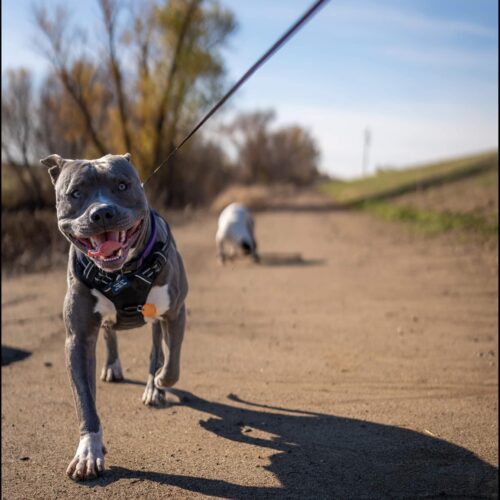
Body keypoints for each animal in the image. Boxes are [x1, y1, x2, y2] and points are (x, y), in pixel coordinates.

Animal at [40, 152, 188, 480]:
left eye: (122, 185)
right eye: (75, 193)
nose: (102, 213)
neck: (121, 274)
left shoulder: (175, 312)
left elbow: (171, 364)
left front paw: (160, 383)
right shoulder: (78, 338)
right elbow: (85, 401)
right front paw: (88, 452)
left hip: (158, 321)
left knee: (157, 351)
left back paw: (153, 387)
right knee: (110, 334)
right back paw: (112, 367)